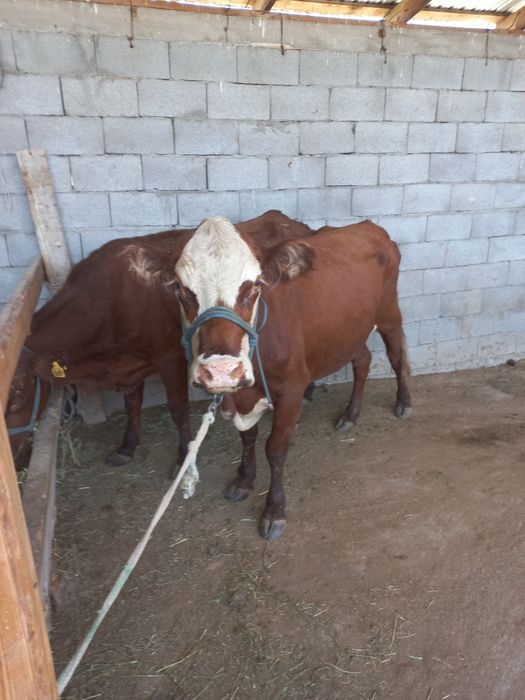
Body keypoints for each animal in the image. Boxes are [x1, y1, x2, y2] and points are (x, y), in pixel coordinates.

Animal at [6, 212, 313, 482]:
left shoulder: (169, 359)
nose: (14, 461)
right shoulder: (130, 364)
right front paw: (127, 446)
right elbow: (132, 404)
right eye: (179, 288)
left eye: (18, 395)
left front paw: (182, 456)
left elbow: (177, 408)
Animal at [143, 217, 411, 540]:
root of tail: (368, 225)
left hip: (389, 314)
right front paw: (244, 481)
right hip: (348, 329)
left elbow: (275, 449)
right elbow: (248, 438)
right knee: (363, 361)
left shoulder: (291, 390)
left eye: (255, 286)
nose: (221, 369)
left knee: (396, 356)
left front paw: (274, 511)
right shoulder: (241, 392)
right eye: (181, 290)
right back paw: (350, 415)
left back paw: (404, 402)